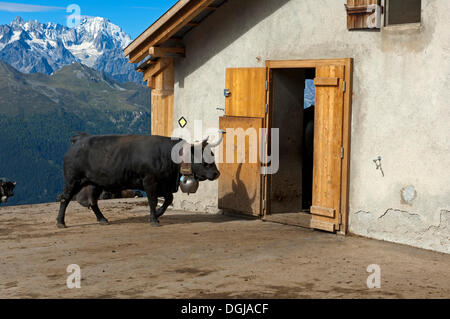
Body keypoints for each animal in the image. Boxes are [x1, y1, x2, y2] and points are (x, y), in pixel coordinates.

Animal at [57, 134, 222, 229]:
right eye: (204, 156)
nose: (216, 173)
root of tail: (78, 140)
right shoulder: (150, 181)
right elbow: (152, 201)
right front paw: (154, 219)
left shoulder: (164, 184)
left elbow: (168, 199)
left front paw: (158, 214)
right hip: (73, 181)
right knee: (65, 199)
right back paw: (61, 222)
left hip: (95, 184)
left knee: (93, 202)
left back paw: (102, 219)